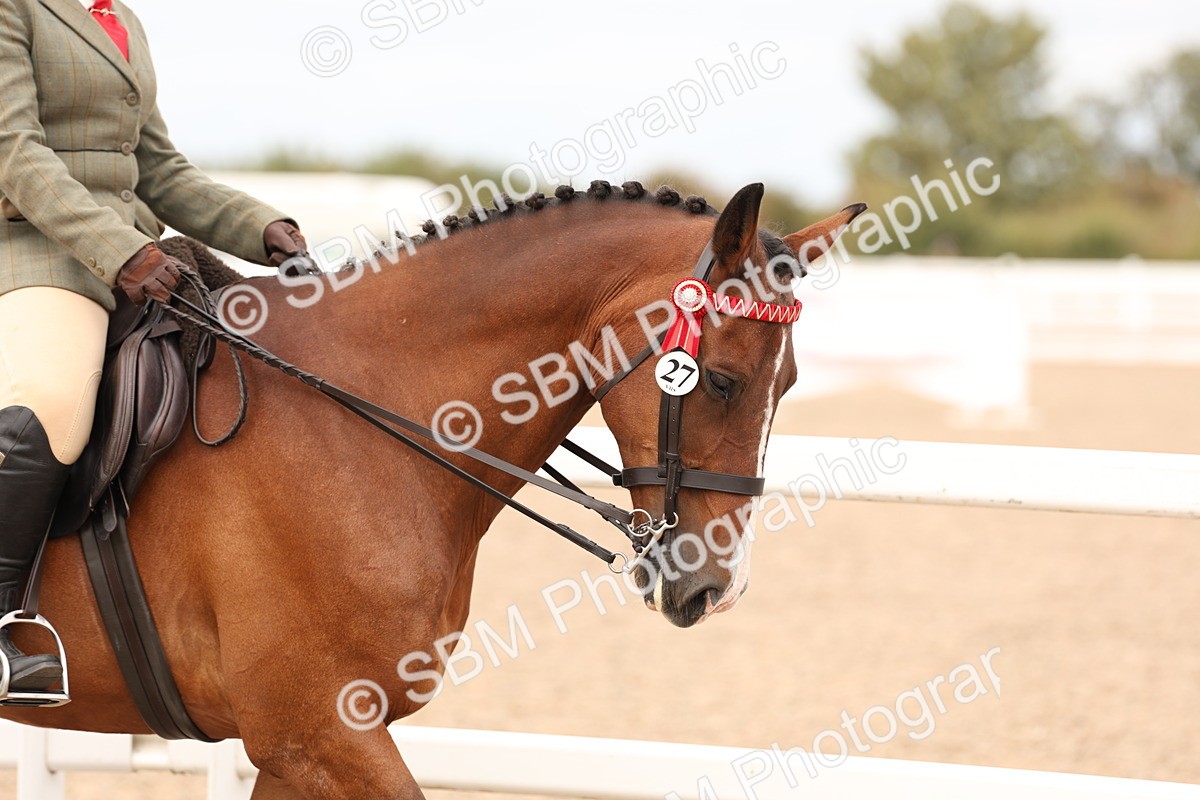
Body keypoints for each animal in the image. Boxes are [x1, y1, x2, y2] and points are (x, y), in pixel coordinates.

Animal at [1, 179, 861, 799]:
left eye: (788, 384)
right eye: (720, 380)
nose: (721, 588)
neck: (359, 414)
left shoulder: (298, 746)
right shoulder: (318, 731)